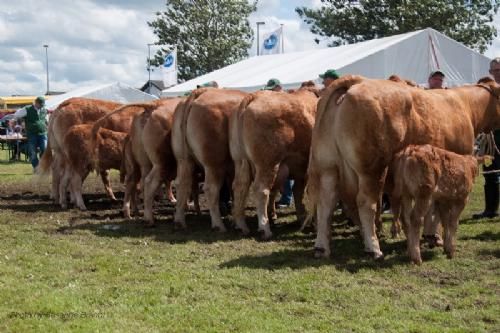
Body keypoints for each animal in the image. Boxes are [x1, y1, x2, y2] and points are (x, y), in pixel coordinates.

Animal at [172, 87, 248, 231]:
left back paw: (179, 221)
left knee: (182, 184)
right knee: (211, 189)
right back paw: (219, 225)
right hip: (213, 163)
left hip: (183, 159)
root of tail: (199, 92)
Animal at [229, 87, 316, 239]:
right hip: (268, 163)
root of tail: (254, 96)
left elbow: (297, 191)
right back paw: (265, 228)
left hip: (240, 160)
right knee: (261, 190)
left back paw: (241, 225)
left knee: (240, 187)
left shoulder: (301, 170)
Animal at [306, 75, 500, 260]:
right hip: (371, 170)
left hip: (328, 167)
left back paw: (321, 248)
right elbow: (437, 208)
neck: (466, 105)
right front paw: (434, 236)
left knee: (326, 202)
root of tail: (356, 82)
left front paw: (429, 235)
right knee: (366, 203)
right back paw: (374, 249)